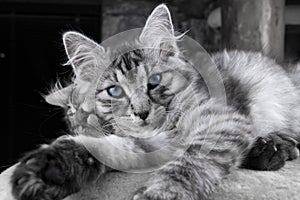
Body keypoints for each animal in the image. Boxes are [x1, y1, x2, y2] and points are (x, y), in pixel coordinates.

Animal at [9, 3, 300, 200]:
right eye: (115, 91)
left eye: (154, 80)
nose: (142, 112)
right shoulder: (138, 142)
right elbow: (96, 147)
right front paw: (47, 169)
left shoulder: (219, 120)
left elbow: (190, 163)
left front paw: (162, 191)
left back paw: (270, 148)